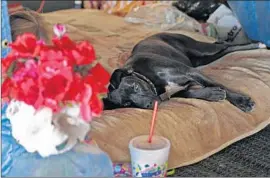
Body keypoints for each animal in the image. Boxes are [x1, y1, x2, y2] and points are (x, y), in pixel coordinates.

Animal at [103, 32, 262, 112]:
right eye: (127, 103)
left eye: (135, 87)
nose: (148, 105)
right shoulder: (182, 88)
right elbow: (192, 93)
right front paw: (212, 94)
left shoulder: (190, 72)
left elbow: (219, 85)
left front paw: (241, 101)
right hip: (202, 59)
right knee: (225, 50)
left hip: (201, 48)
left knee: (227, 46)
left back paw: (256, 44)